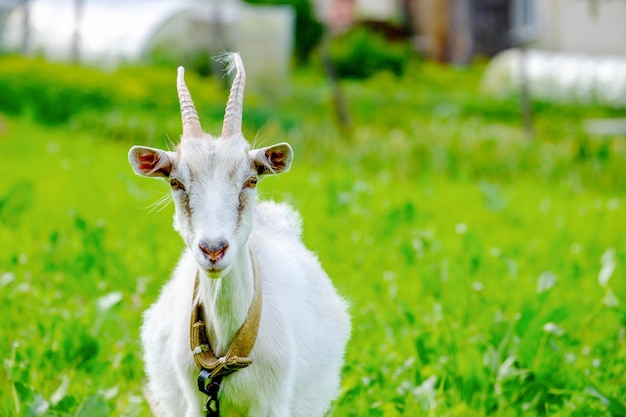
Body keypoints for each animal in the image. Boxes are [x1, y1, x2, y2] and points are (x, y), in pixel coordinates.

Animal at [127, 52, 352, 416]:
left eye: (252, 179)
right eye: (175, 182)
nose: (213, 249)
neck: (225, 356)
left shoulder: (273, 403)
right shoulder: (192, 402)